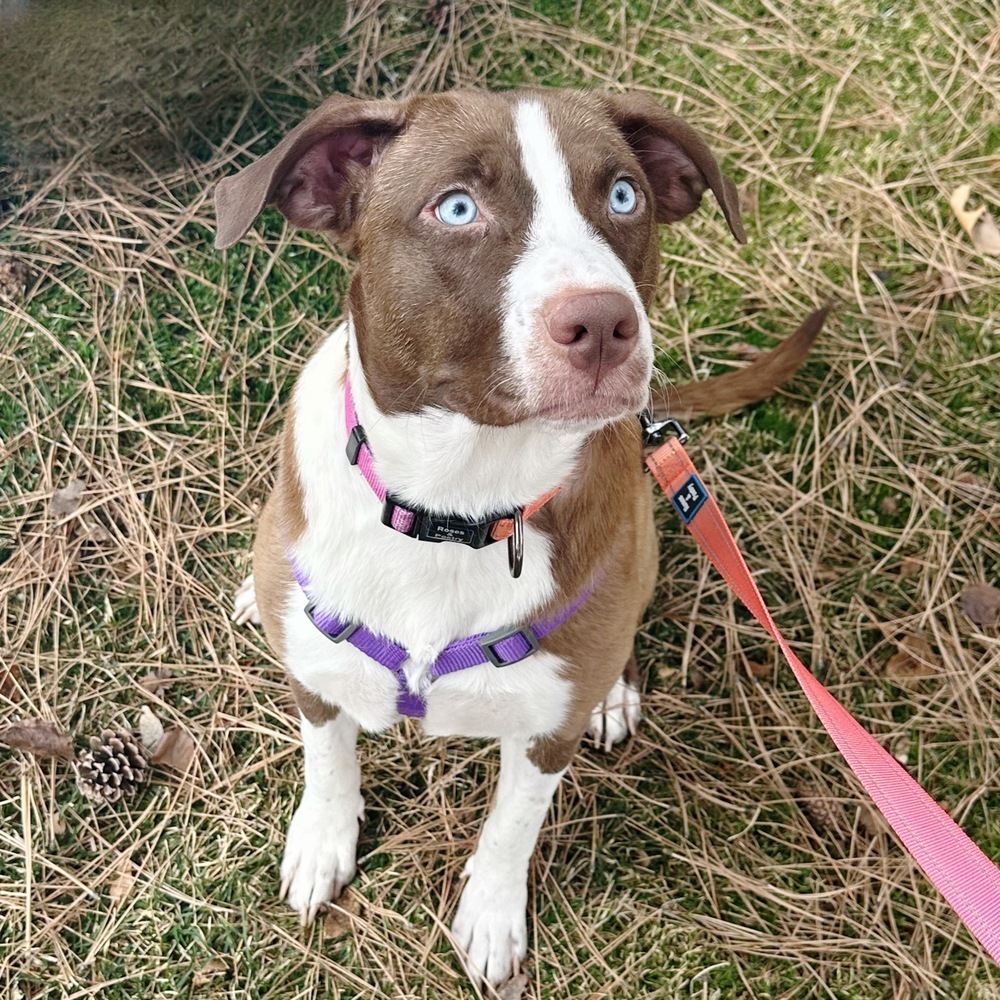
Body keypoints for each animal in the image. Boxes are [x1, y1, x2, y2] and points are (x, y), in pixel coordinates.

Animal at [215, 88, 824, 984]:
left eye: (623, 196)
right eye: (457, 207)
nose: (605, 323)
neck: (456, 510)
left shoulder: (545, 736)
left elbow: (511, 826)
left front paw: (492, 919)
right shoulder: (317, 680)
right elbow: (328, 760)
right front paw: (322, 844)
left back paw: (614, 692)